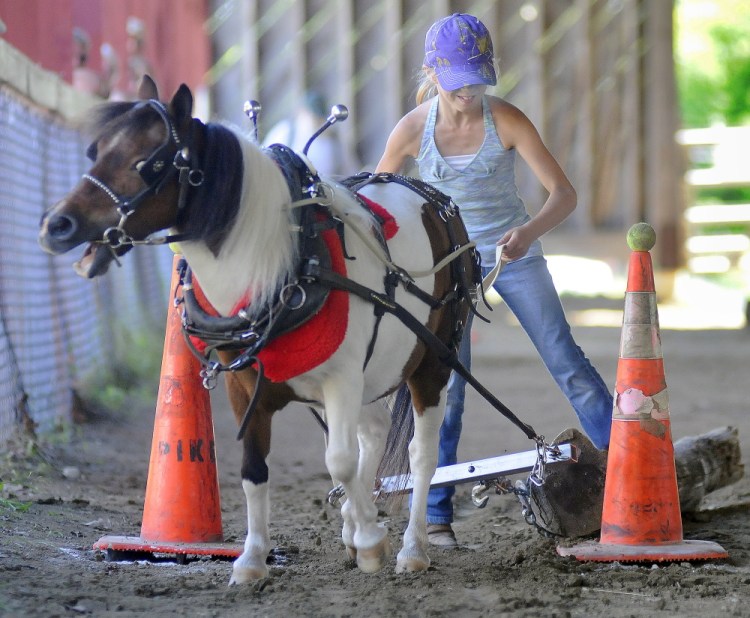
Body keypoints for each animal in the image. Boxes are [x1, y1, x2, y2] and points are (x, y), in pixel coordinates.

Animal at [38, 77, 478, 584]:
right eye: (94, 151)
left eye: (148, 163)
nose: (56, 224)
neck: (285, 264)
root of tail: (437, 202)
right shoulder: (246, 385)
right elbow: (255, 468)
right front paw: (252, 560)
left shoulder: (342, 378)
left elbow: (340, 460)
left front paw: (371, 543)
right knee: (371, 434)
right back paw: (356, 522)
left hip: (430, 363)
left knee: (420, 454)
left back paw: (412, 547)